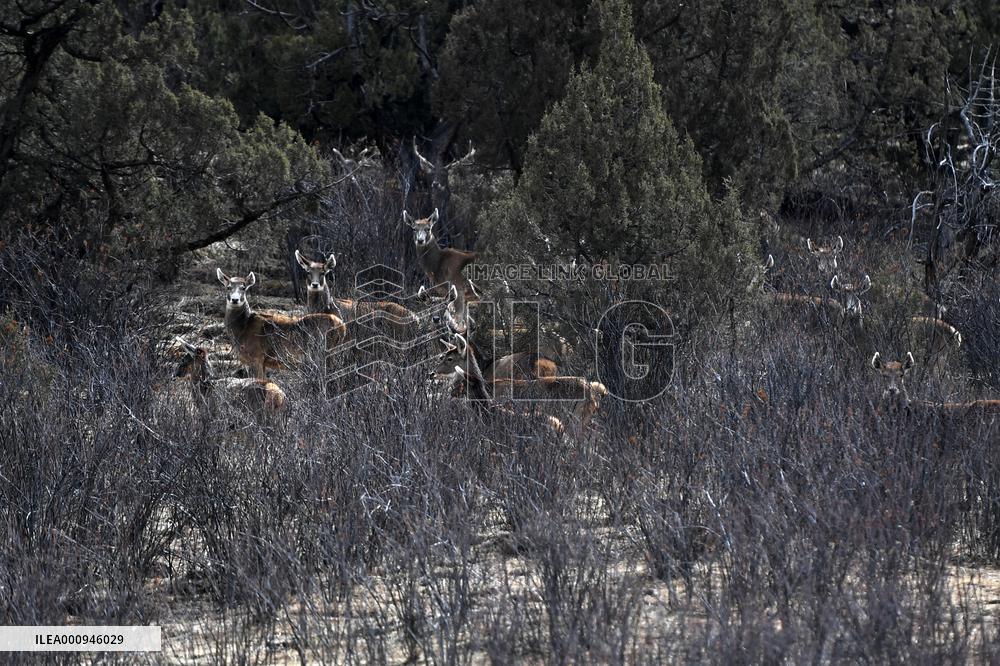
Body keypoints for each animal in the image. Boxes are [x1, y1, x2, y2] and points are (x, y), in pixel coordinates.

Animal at [216, 269, 348, 381]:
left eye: (243, 288)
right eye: (228, 287)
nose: (235, 300)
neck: (243, 328)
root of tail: (342, 326)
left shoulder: (256, 356)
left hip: (322, 351)